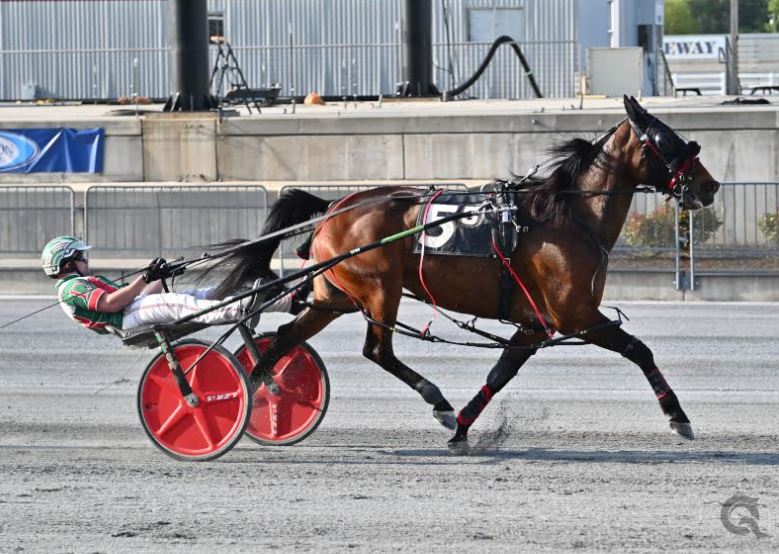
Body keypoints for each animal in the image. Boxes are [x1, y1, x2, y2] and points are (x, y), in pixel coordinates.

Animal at [212, 96, 720, 450]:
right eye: (667, 139)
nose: (710, 185)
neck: (567, 216)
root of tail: (337, 204)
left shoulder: (536, 324)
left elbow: (501, 371)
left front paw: (461, 429)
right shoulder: (575, 315)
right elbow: (639, 350)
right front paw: (679, 418)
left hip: (333, 297)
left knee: (285, 338)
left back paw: (259, 397)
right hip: (378, 291)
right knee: (377, 350)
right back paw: (434, 399)